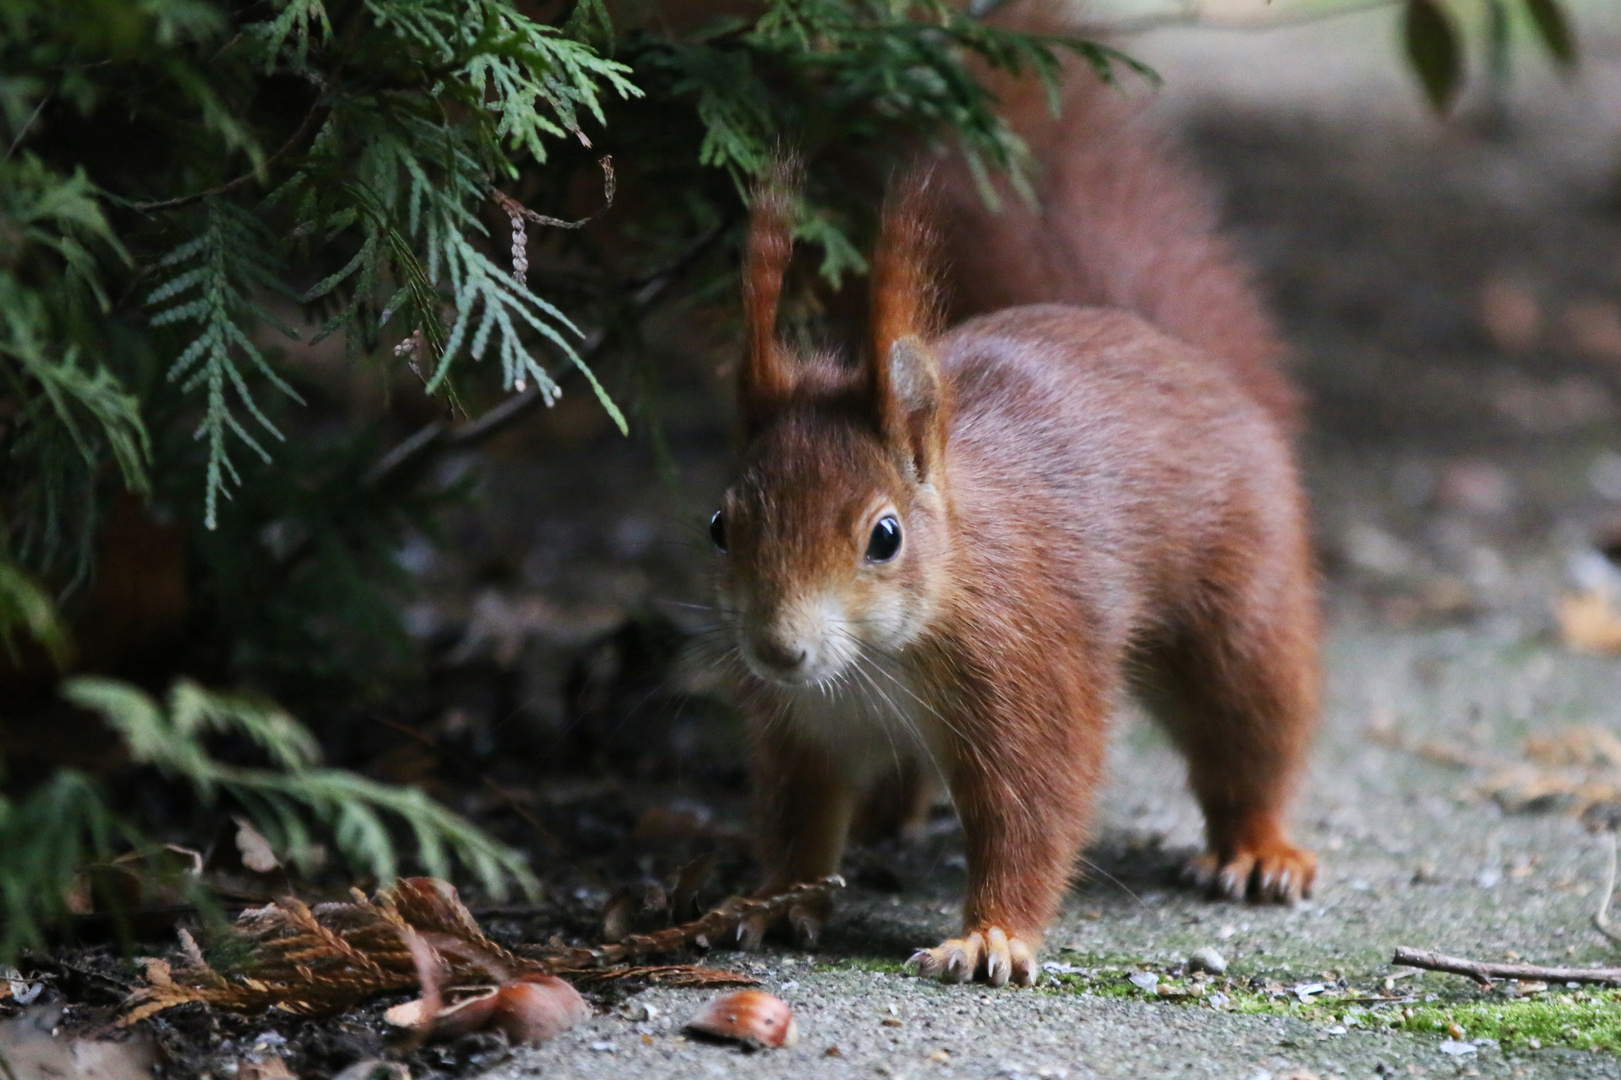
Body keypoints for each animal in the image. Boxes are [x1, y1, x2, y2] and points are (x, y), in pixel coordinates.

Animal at [709, 35, 1316, 985]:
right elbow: (797, 817)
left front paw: (989, 937)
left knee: (1252, 726)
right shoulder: (800, 726)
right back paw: (889, 814)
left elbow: (1030, 812)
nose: (778, 651)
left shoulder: (1026, 669)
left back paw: (1257, 848)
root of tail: (1172, 350)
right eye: (720, 528)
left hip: (1239, 604)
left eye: (884, 536)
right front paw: (772, 902)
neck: (877, 661)